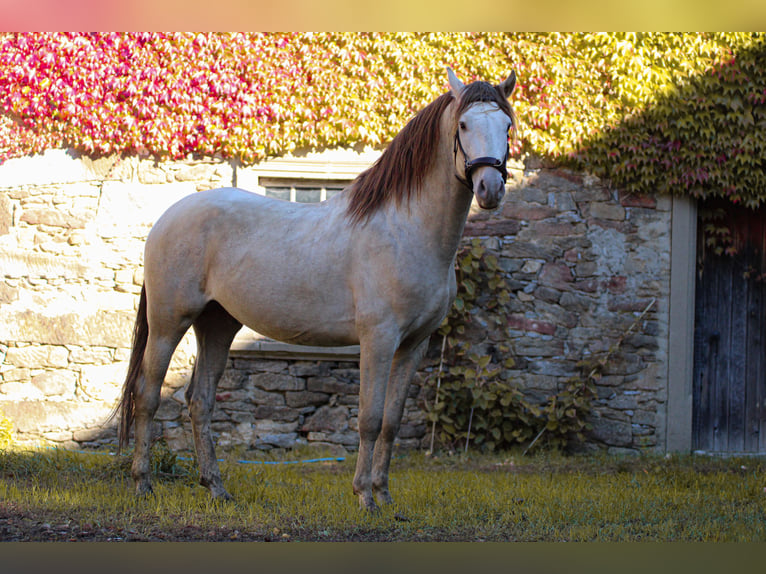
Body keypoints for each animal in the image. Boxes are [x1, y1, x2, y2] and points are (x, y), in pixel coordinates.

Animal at [117, 68, 520, 512]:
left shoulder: (415, 344)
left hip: (217, 325)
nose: (490, 190)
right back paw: (142, 484)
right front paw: (365, 497)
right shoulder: (379, 339)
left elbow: (392, 422)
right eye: (463, 125)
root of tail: (166, 219)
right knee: (147, 393)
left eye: (507, 125)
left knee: (200, 401)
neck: (406, 229)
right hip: (169, 322)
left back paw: (216, 487)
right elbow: (369, 419)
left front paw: (385, 496)